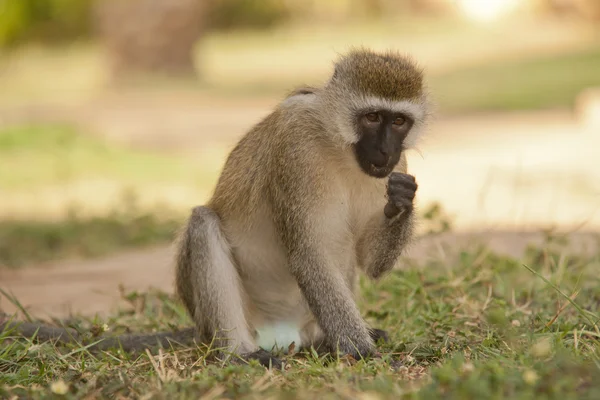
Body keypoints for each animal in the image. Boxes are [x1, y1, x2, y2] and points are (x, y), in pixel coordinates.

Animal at [173, 48, 432, 368]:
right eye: (372, 117)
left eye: (398, 121)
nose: (385, 150)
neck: (339, 145)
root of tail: (284, 333)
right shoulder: (296, 145)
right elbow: (308, 254)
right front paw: (363, 353)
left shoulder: (398, 165)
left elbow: (370, 262)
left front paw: (401, 200)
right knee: (203, 222)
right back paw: (239, 354)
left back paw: (325, 341)